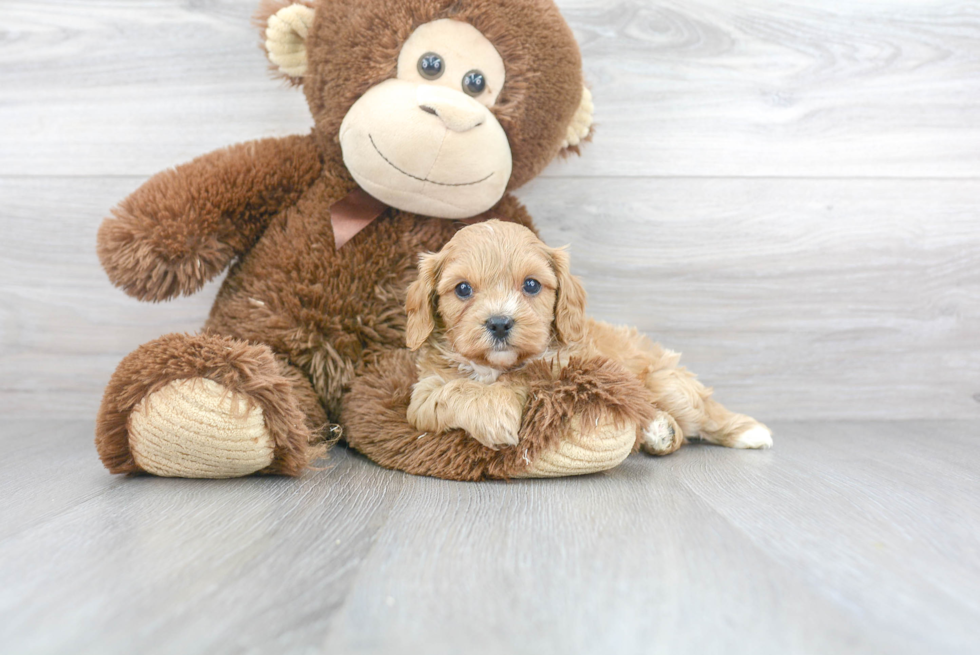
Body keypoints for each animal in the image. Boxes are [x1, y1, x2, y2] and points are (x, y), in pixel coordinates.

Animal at [402, 220, 768, 456]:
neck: (495, 367)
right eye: (463, 289)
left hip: (667, 382)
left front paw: (501, 401)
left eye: (531, 285)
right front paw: (493, 412)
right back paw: (658, 430)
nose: (500, 323)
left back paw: (749, 432)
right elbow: (452, 391)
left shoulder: (575, 368)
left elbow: (528, 377)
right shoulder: (423, 393)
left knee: (703, 411)